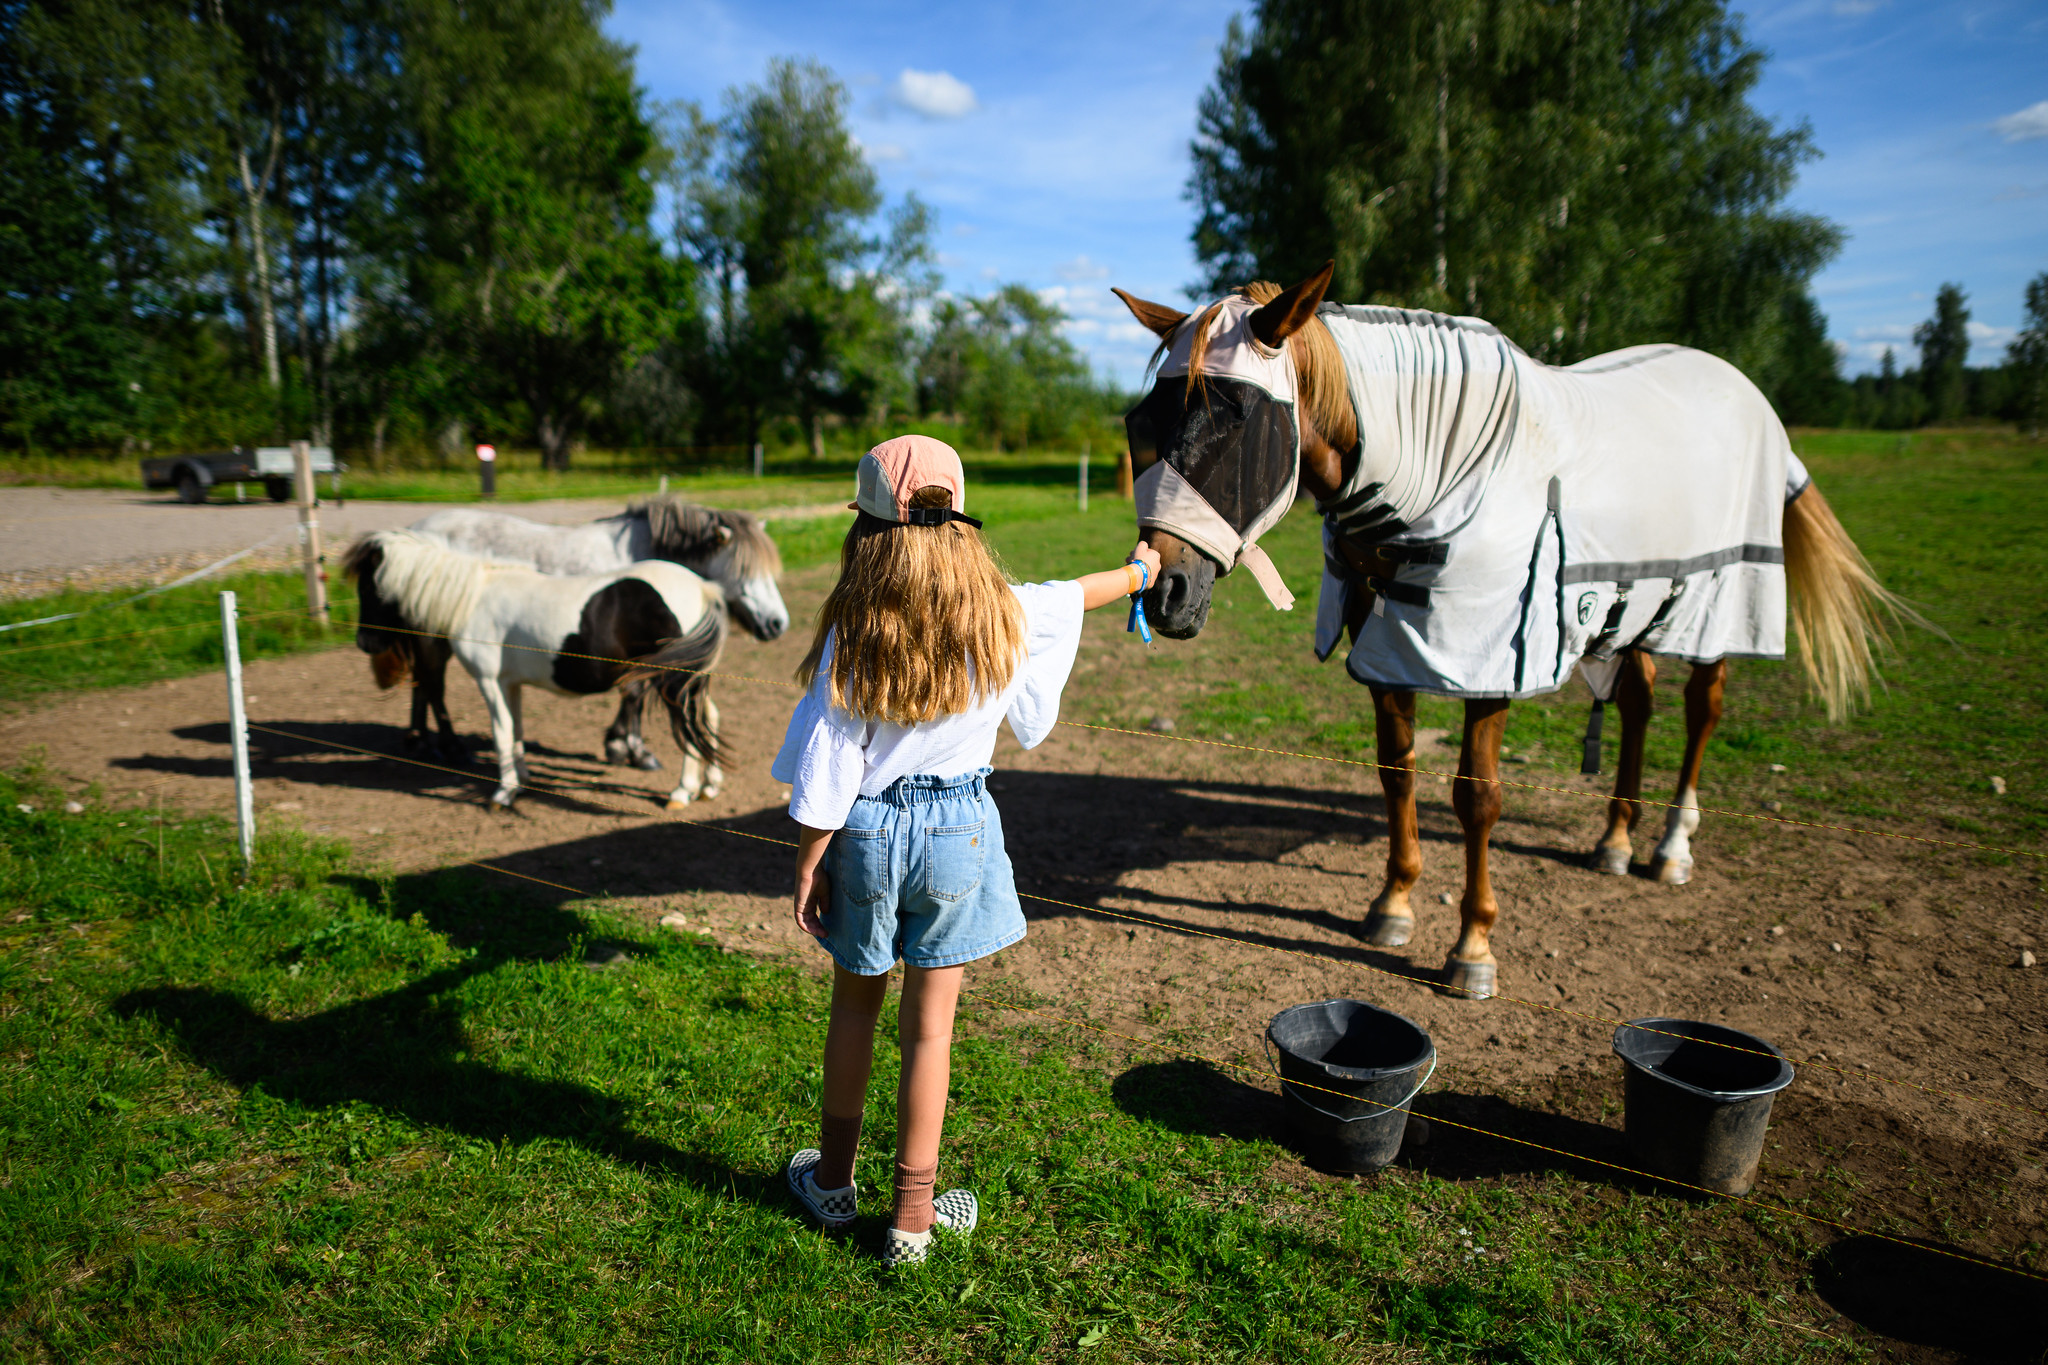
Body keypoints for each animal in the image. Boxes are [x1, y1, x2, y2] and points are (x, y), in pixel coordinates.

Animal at [348, 532, 733, 810]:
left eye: (367, 586)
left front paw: (504, 794)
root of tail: (701, 588)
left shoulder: (490, 682)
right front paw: (521, 779)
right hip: (693, 679)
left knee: (690, 727)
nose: (364, 642)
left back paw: (681, 792)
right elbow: (516, 729)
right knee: (710, 717)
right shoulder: (509, 683)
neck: (473, 598)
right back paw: (710, 786)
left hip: (673, 681)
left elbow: (502, 733)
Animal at [403, 499, 786, 777]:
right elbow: (632, 696)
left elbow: (633, 694)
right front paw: (630, 749)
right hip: (433, 636)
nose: (778, 624)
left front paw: (623, 747)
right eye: (743, 572)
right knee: (432, 682)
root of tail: (414, 529)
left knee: (423, 681)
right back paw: (447, 746)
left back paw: (420, 742)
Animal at [1114, 261, 1908, 998]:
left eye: (1239, 418)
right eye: (1141, 423)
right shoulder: (1384, 643)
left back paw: (1673, 846)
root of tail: (1749, 395)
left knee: (1701, 709)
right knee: (1640, 702)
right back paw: (1616, 839)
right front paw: (1393, 905)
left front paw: (1473, 948)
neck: (1436, 470)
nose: (1165, 587)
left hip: (1715, 601)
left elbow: (1477, 797)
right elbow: (1396, 771)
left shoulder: (1488, 655)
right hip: (1632, 607)